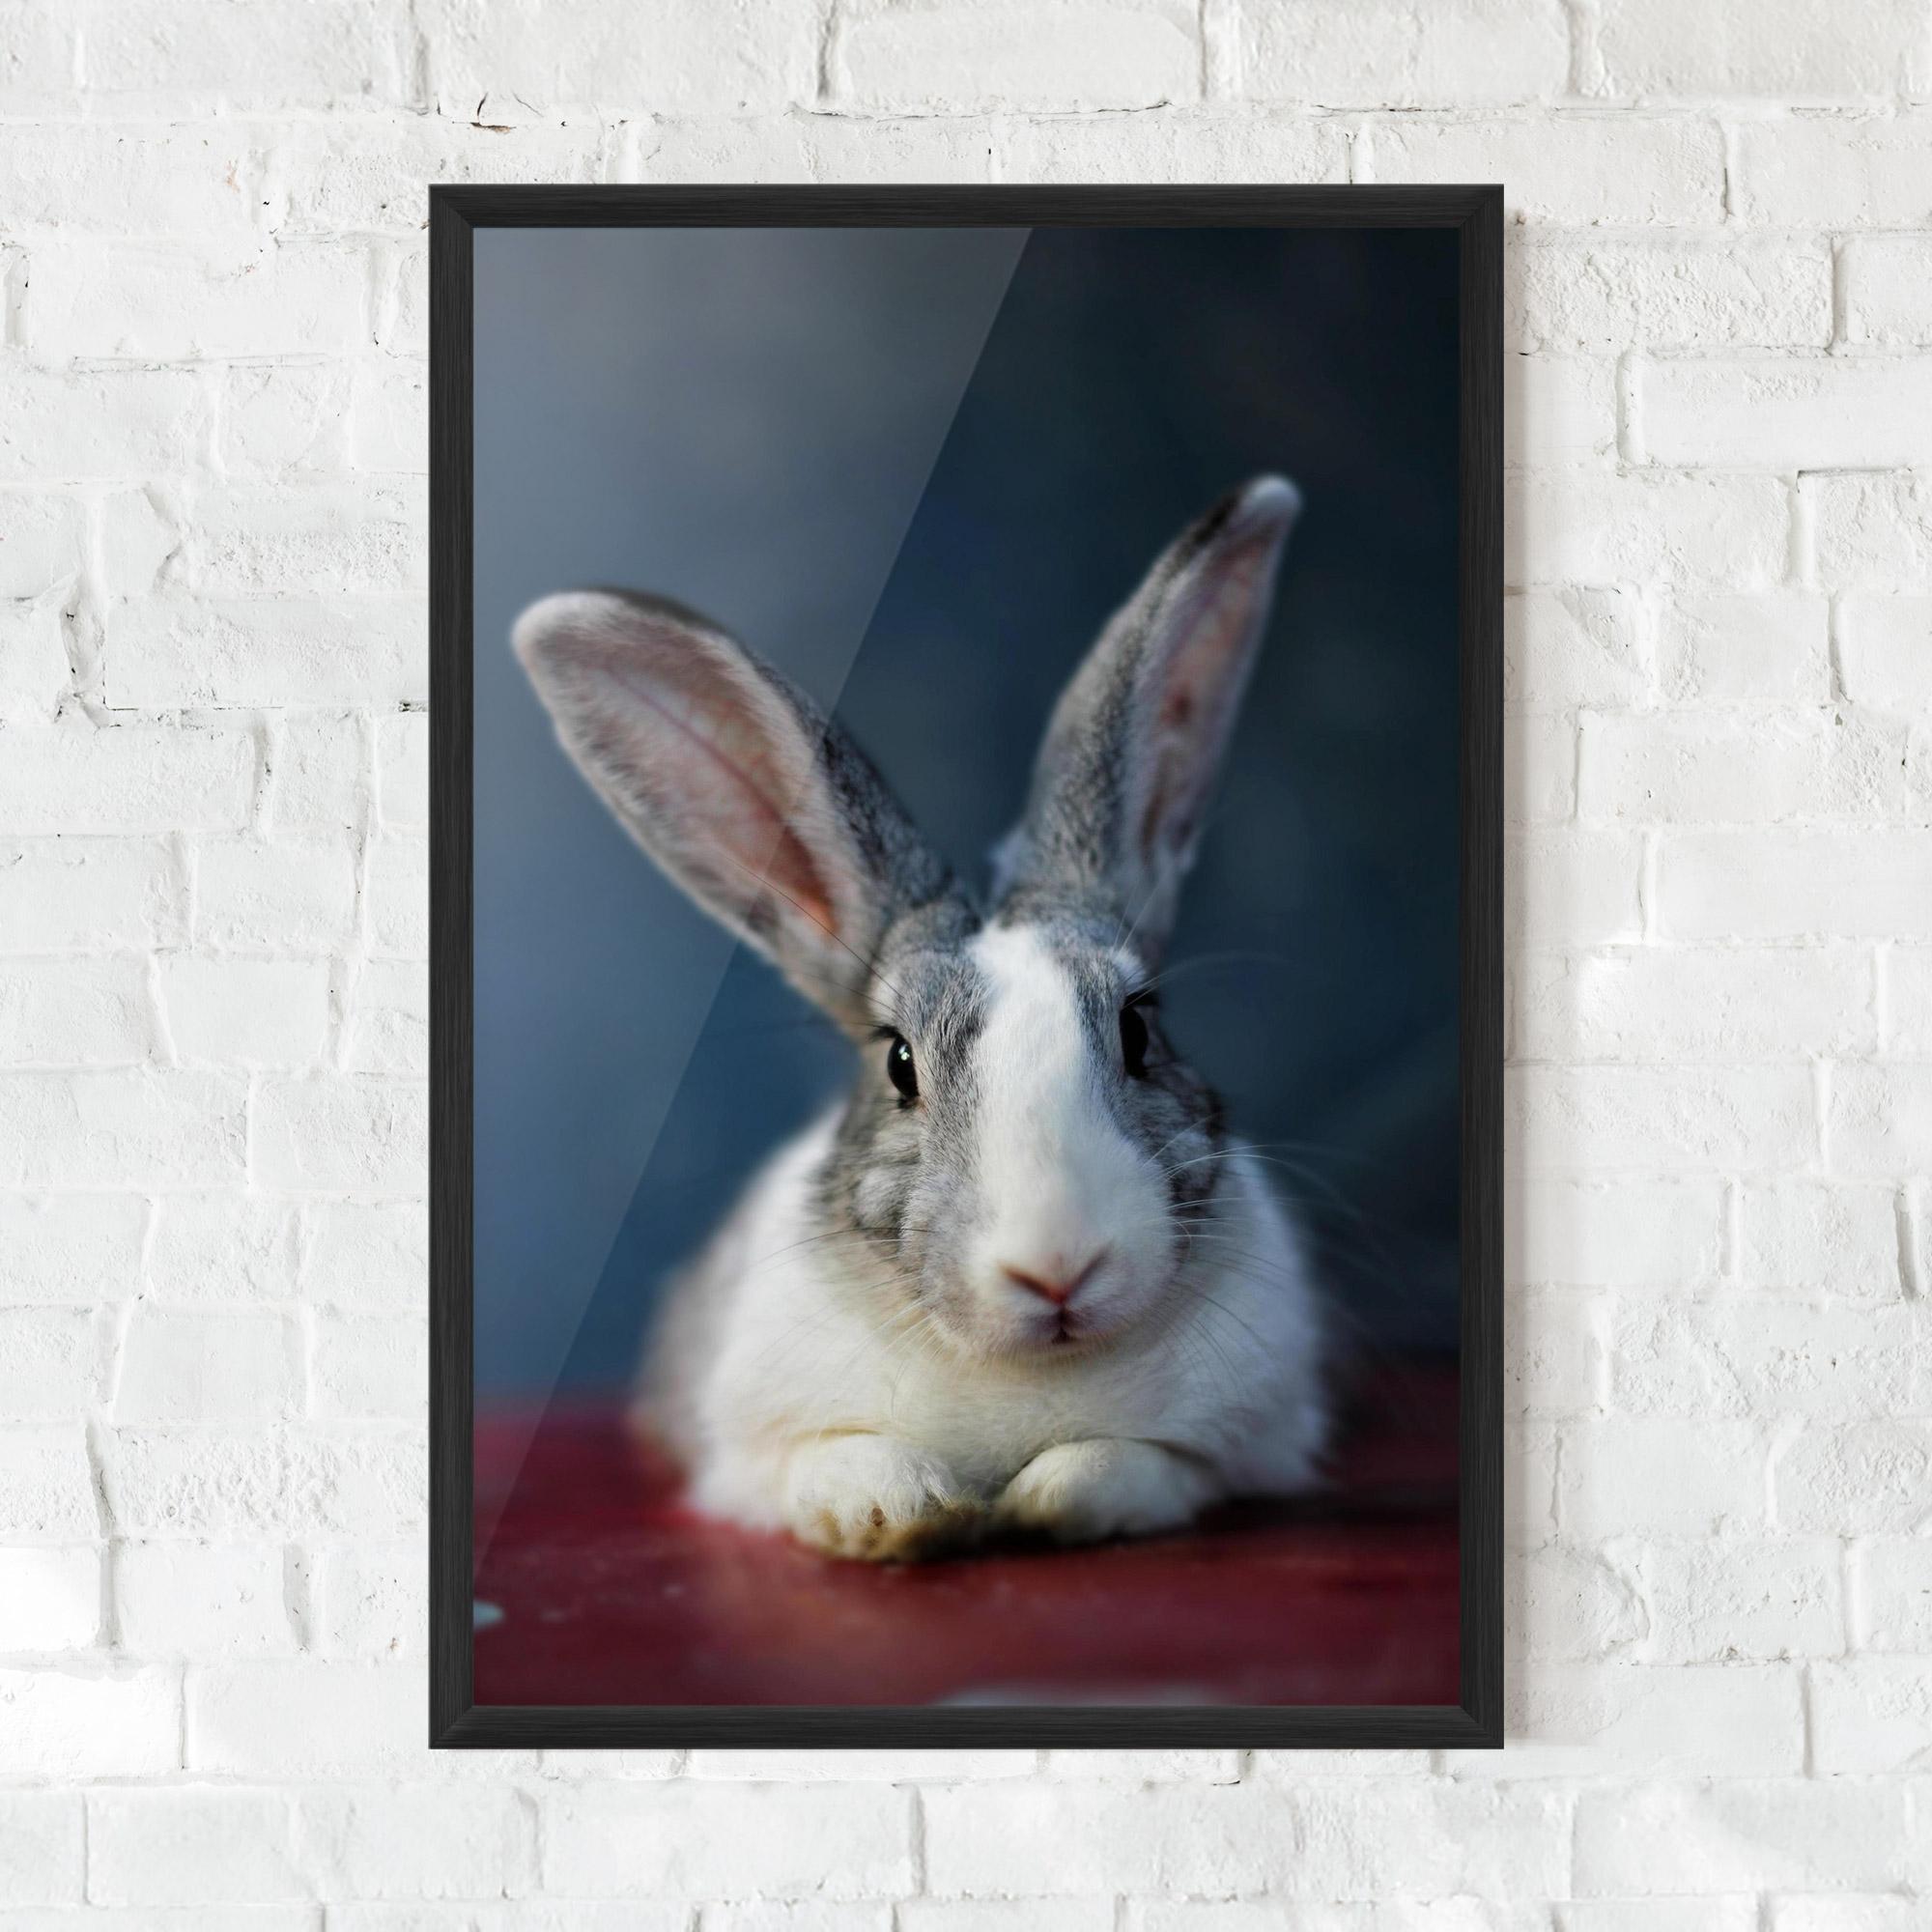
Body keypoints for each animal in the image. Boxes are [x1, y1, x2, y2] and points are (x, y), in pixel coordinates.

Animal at [514, 474, 1331, 1561]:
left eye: (1139, 1029)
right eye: (900, 1063)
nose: (1057, 1267)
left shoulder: (1235, 1448)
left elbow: (1129, 1465)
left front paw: (1045, 1497)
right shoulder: (747, 1454)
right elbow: (835, 1462)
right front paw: (902, 1512)